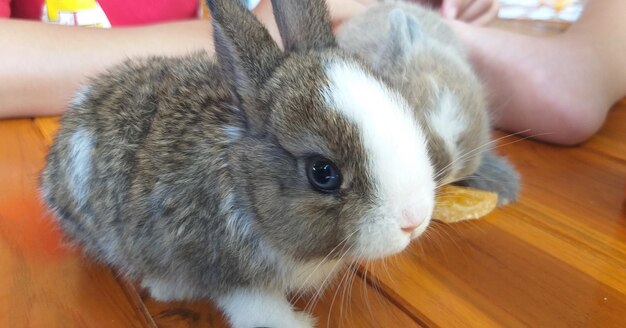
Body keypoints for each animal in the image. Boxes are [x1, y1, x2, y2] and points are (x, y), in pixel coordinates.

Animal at [40, 0, 438, 328]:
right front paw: (299, 323)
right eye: (323, 173)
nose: (414, 221)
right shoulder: (232, 276)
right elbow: (262, 311)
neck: (242, 183)